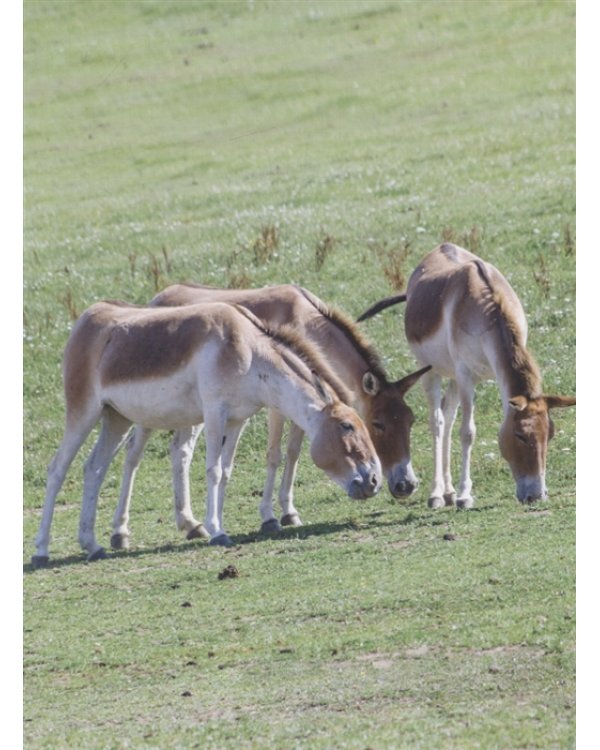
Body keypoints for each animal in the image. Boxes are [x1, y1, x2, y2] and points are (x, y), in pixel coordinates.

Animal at [32, 301, 382, 566]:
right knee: (57, 469)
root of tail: (88, 316)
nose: (374, 482)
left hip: (115, 418)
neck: (248, 350)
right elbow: (212, 471)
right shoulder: (215, 413)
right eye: (347, 426)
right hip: (83, 412)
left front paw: (218, 524)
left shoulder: (237, 419)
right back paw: (41, 551)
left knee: (94, 468)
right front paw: (217, 530)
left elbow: (226, 472)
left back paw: (92, 545)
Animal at [108, 284, 429, 551]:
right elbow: (275, 455)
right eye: (378, 424)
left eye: (411, 420)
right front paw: (270, 517)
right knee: (134, 453)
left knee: (180, 451)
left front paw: (289, 512)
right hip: (153, 410)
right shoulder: (278, 405)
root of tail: (160, 296)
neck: (305, 320)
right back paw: (121, 532)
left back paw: (190, 524)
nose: (406, 485)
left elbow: (294, 452)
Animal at [357, 243, 575, 508]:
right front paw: (464, 496)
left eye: (550, 434)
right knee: (437, 422)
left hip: (452, 377)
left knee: (448, 416)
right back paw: (437, 494)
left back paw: (448, 492)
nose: (536, 495)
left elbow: (459, 426)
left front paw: (458, 493)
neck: (485, 314)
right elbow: (468, 432)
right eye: (520, 436)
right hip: (430, 371)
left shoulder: (472, 376)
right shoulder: (465, 376)